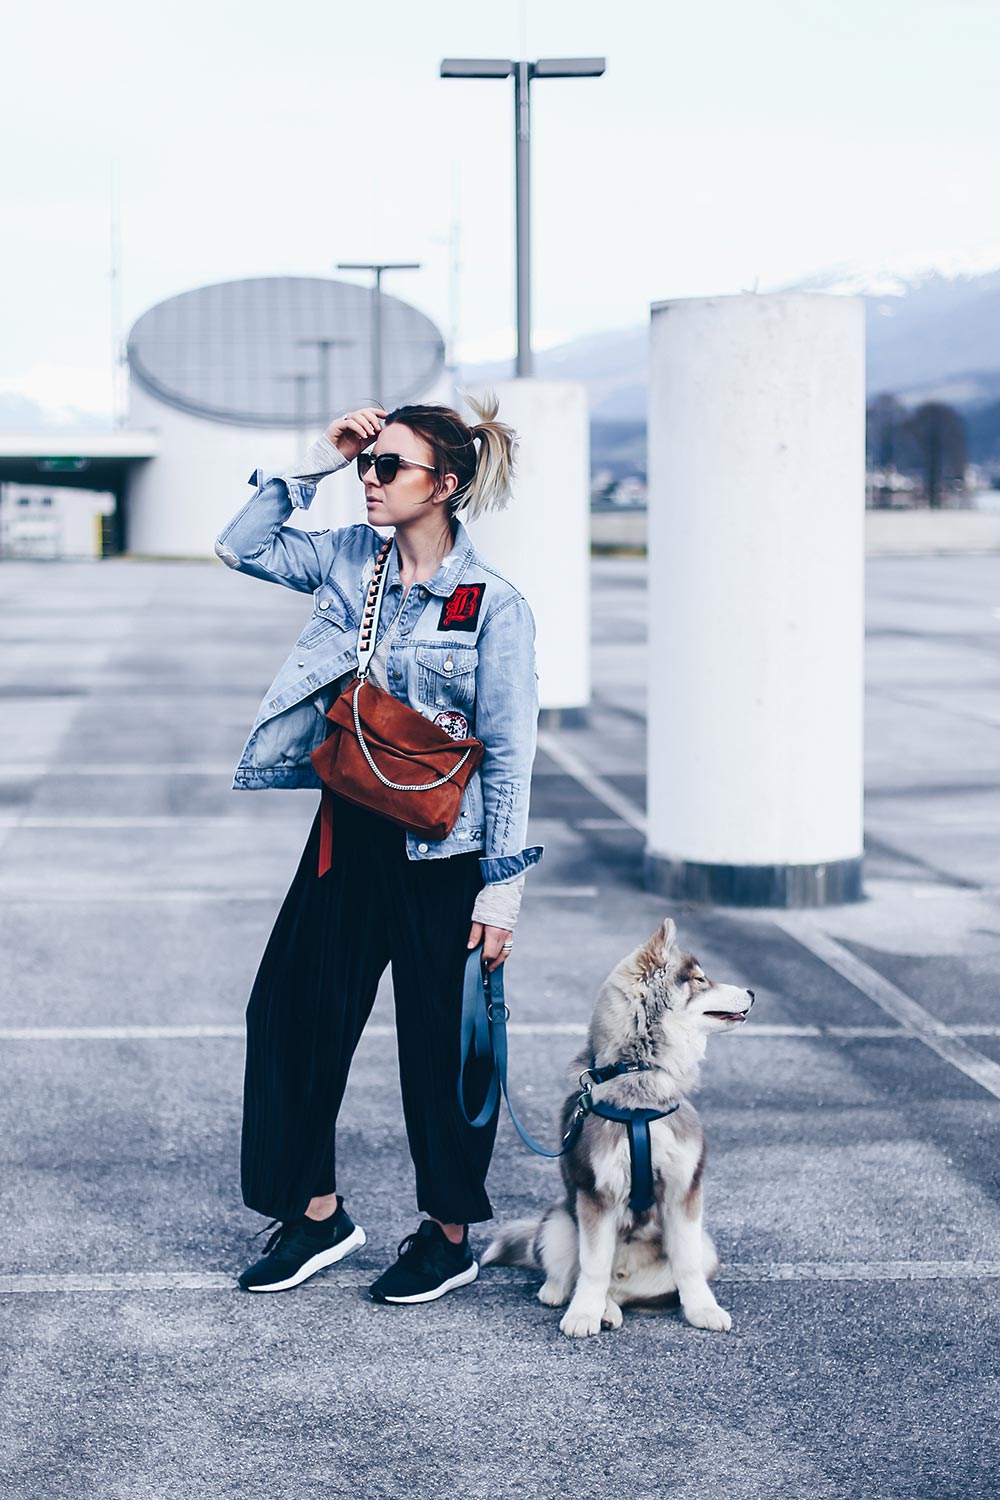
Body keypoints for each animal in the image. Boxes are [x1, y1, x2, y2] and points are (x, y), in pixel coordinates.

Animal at [482, 918, 749, 1344]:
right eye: (699, 979)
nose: (752, 993)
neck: (640, 1087)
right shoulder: (598, 1195)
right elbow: (592, 1266)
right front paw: (582, 1314)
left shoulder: (684, 1191)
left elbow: (687, 1265)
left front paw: (703, 1310)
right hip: (559, 1221)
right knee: (579, 1275)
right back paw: (567, 1296)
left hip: (704, 1245)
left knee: (626, 1290)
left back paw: (611, 1306)